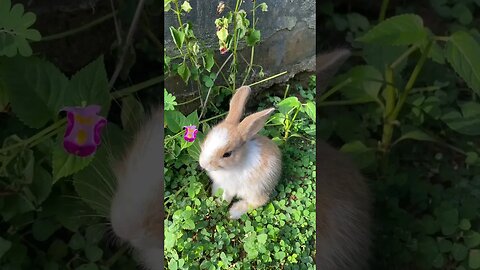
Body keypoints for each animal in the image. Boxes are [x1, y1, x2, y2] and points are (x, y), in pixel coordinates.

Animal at [199, 86, 282, 219]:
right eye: (207, 139)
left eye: (227, 154)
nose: (203, 164)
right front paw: (215, 198)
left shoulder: (230, 187)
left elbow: (226, 197)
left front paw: (220, 204)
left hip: (255, 189)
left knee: (258, 201)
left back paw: (234, 212)